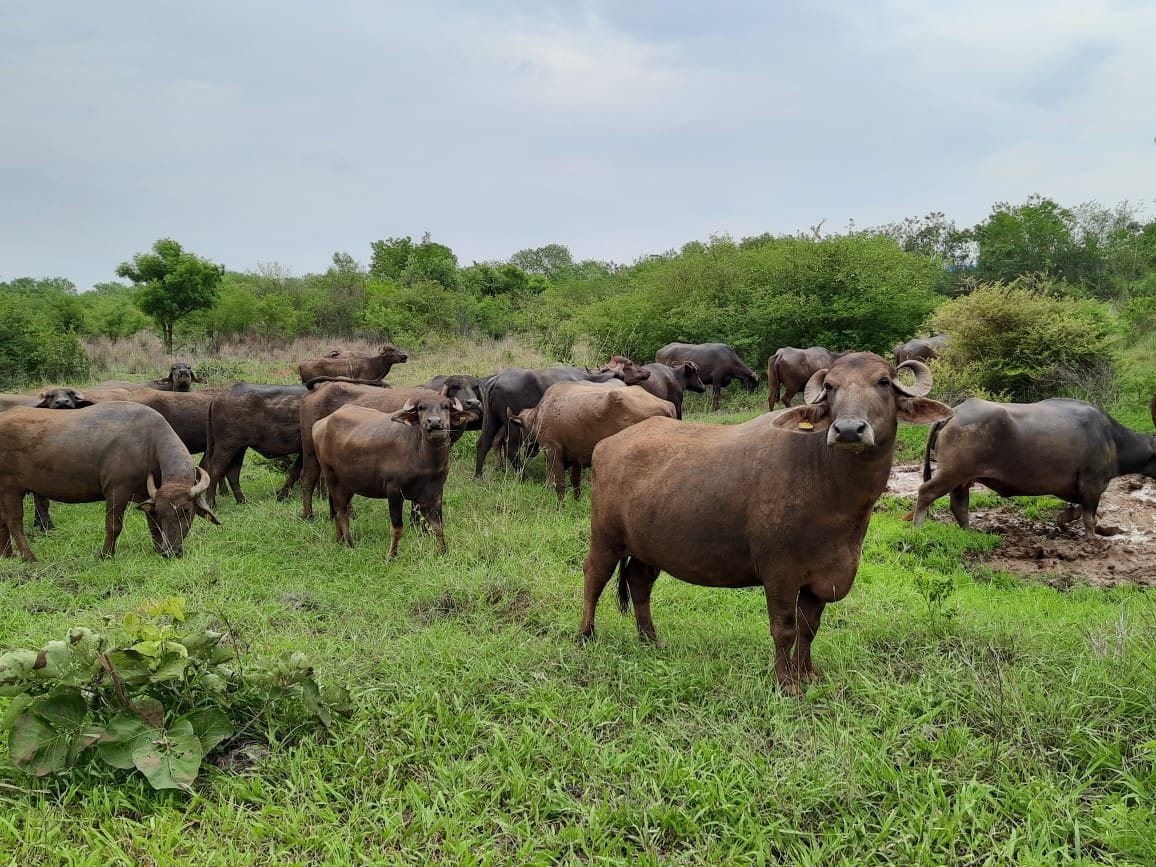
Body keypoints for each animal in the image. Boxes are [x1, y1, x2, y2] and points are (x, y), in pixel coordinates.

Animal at [0, 402, 219, 561]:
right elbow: (113, 526)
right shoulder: (117, 492)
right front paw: (106, 554)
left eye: (186, 511)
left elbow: (154, 527)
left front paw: (157, 549)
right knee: (14, 523)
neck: (148, 445)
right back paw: (29, 556)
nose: (171, 552)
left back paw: (7, 554)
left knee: (2, 521)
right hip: (11, 489)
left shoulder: (148, 495)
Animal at [313, 396, 477, 556]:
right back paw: (350, 543)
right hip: (332, 478)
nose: (435, 422)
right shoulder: (394, 492)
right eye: (421, 408)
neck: (426, 460)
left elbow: (438, 526)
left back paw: (339, 540)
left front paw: (443, 552)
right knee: (341, 513)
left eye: (446, 407)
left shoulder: (434, 494)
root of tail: (320, 424)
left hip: (348, 484)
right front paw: (391, 556)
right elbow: (397, 528)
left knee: (338, 510)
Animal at [578, 354, 951, 693]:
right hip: (606, 536)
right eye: (831, 387)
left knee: (639, 583)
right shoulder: (780, 573)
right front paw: (785, 682)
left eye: (884, 382)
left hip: (648, 547)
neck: (829, 485)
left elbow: (809, 627)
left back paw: (650, 640)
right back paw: (586, 634)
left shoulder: (821, 578)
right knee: (594, 576)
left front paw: (807, 674)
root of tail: (608, 444)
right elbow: (784, 628)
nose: (847, 430)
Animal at [911, 398, 1156, 536]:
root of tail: (953, 415)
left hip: (961, 479)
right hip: (952, 473)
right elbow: (1089, 519)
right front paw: (1091, 541)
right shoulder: (1092, 485)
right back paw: (917, 528)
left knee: (959, 506)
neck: (1112, 439)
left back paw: (968, 533)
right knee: (926, 492)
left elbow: (1077, 513)